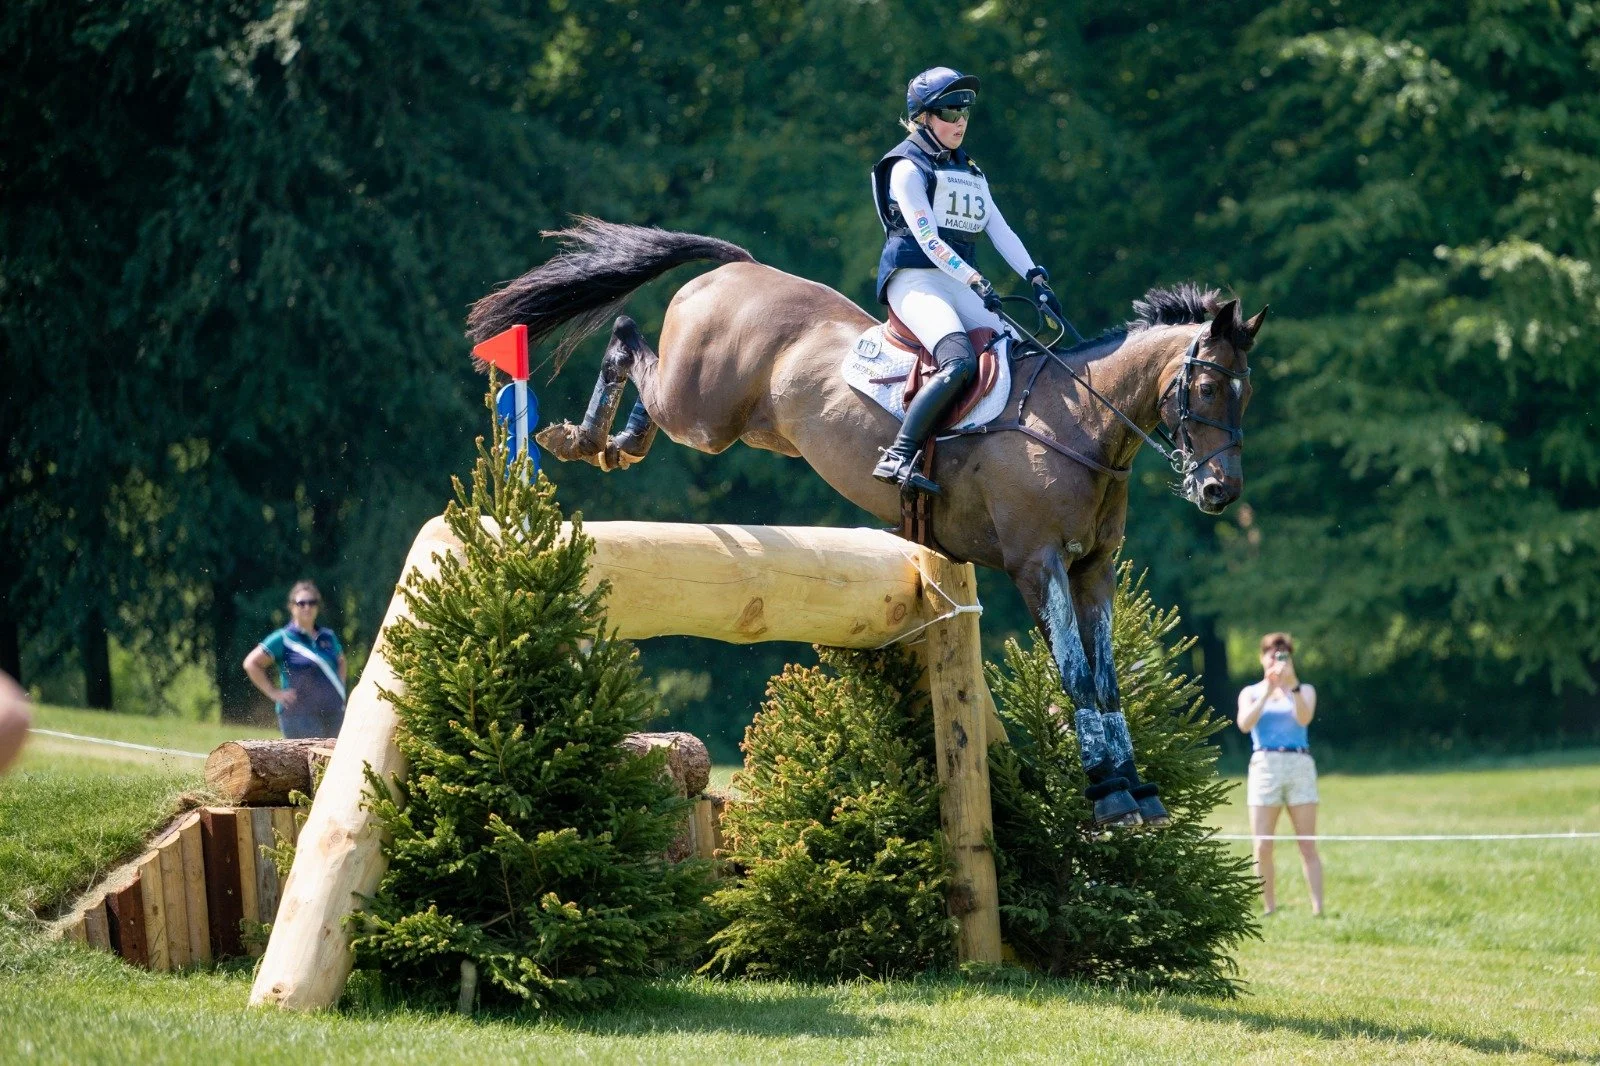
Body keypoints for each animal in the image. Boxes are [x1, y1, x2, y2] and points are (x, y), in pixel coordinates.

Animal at [468, 218, 1264, 827]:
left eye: (1246, 393)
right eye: (1204, 388)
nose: (1219, 491)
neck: (1082, 425)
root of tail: (738, 269)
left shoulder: (1092, 568)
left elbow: (1105, 681)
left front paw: (1135, 790)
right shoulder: (1038, 564)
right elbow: (1074, 673)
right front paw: (1106, 795)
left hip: (736, 421)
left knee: (647, 380)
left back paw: (615, 442)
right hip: (703, 407)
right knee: (629, 341)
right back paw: (581, 437)